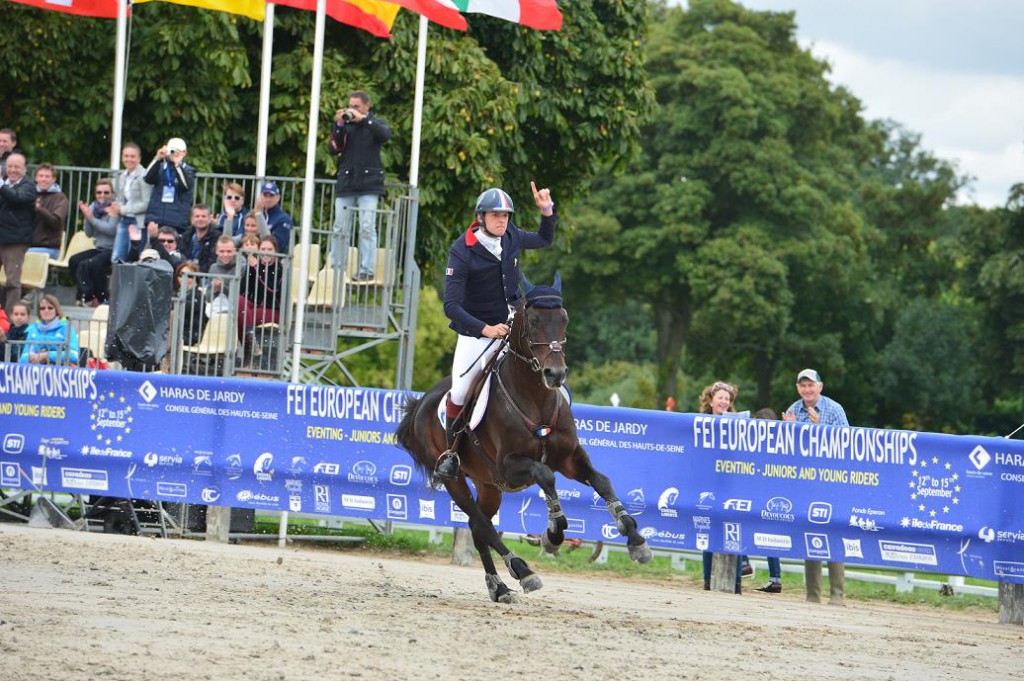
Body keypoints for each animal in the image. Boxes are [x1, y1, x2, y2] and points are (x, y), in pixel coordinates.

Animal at [395, 276, 651, 602]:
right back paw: (523, 571)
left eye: (564, 319)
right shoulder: (511, 465)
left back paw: (500, 587)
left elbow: (602, 481)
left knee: (477, 527)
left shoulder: (569, 458)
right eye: (533, 321)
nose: (555, 373)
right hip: (457, 480)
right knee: (482, 525)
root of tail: (420, 404)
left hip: (489, 485)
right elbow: (545, 475)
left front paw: (634, 538)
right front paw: (554, 534)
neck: (535, 397)